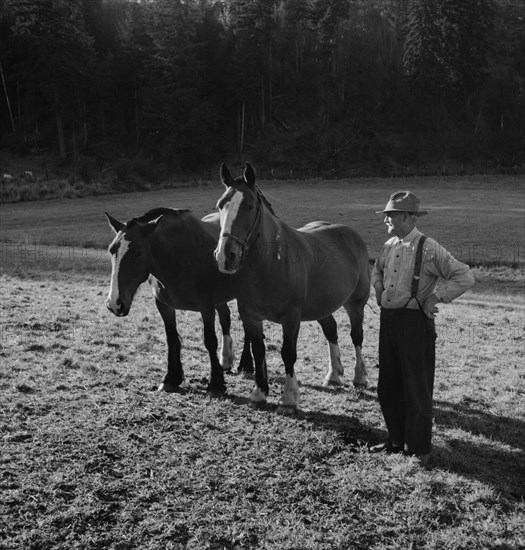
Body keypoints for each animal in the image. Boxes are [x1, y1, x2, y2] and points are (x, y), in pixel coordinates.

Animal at [105, 208, 253, 396]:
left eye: (138, 252)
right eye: (111, 250)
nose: (114, 303)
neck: (179, 256)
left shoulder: (206, 306)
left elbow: (210, 340)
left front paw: (215, 384)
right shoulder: (164, 305)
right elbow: (172, 338)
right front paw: (171, 378)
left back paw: (246, 364)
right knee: (225, 317)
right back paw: (226, 359)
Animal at [213, 164, 368, 414]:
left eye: (249, 205)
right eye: (220, 205)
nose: (226, 255)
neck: (270, 262)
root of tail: (351, 235)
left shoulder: (291, 318)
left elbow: (288, 353)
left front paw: (288, 399)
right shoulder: (250, 316)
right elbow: (258, 350)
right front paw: (259, 393)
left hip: (356, 304)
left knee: (357, 337)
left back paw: (360, 377)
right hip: (321, 306)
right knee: (331, 331)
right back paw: (334, 375)